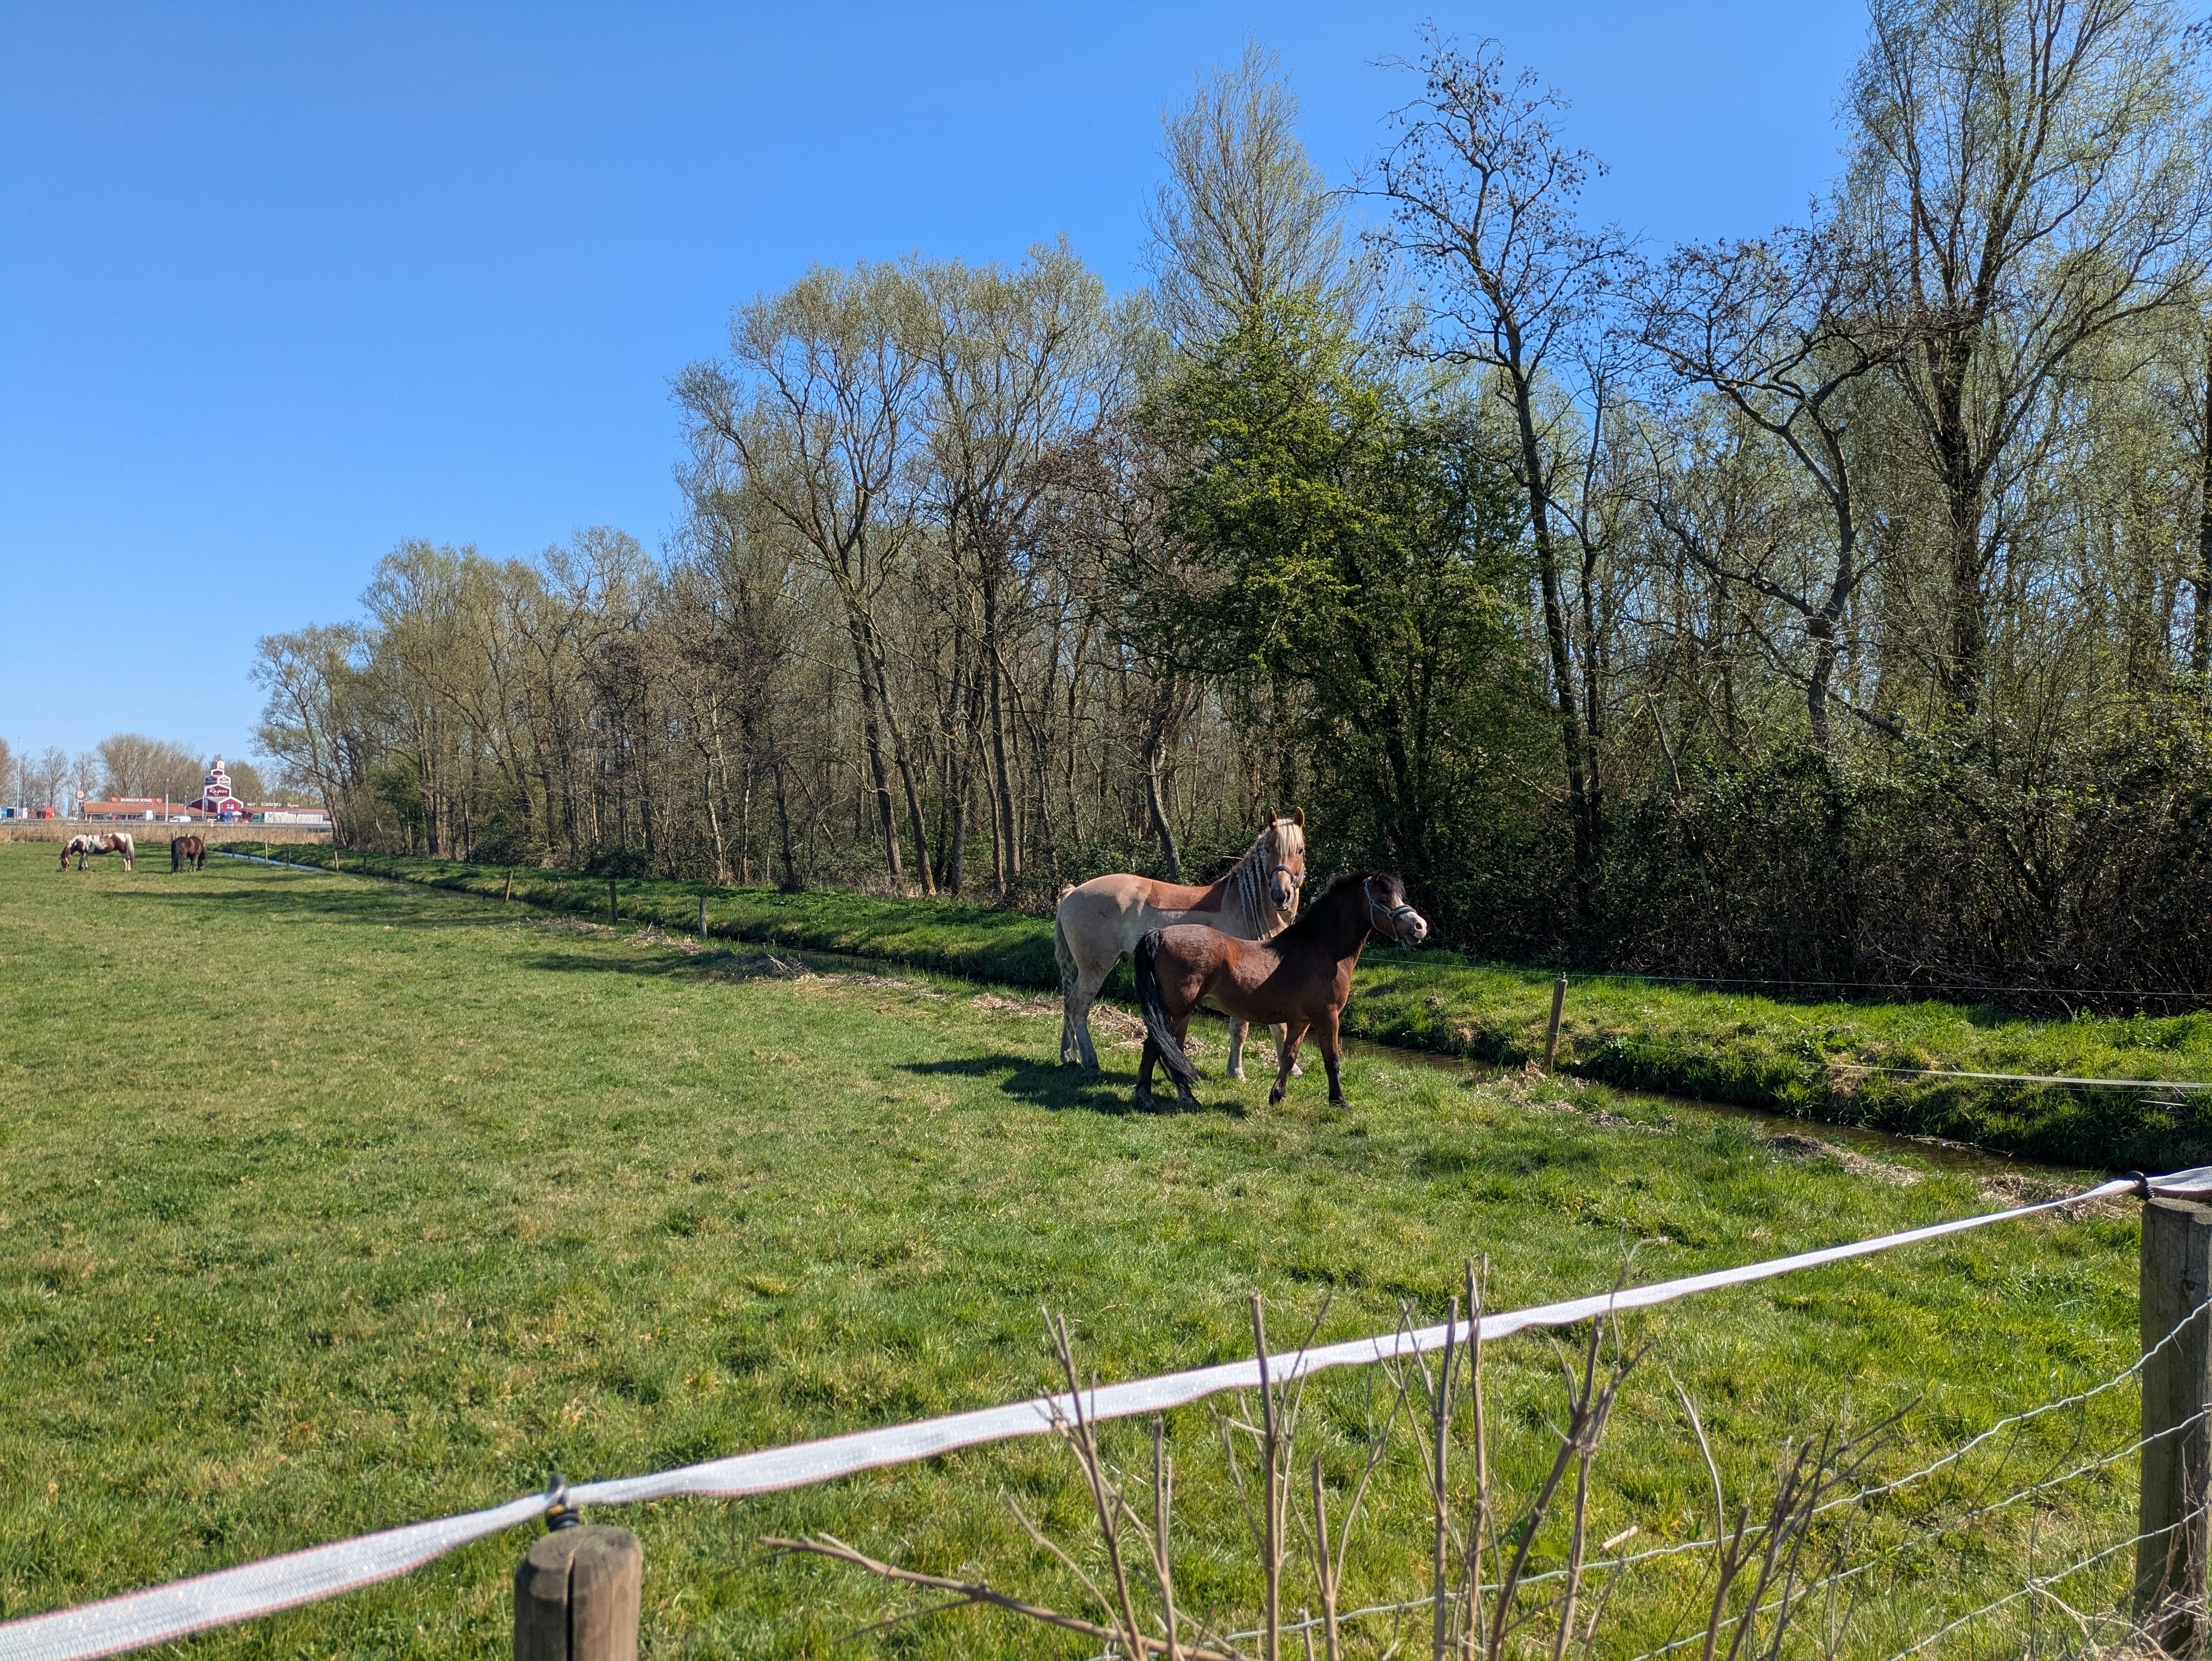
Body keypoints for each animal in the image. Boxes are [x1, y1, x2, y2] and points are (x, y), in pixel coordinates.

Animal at [60, 832, 136, 872]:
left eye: (63, 861)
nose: (63, 870)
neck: (80, 840)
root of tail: (124, 835)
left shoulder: (85, 853)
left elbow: (85, 862)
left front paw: (86, 869)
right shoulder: (83, 853)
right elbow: (81, 861)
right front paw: (80, 869)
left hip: (123, 852)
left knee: (127, 860)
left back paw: (125, 870)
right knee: (129, 859)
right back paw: (128, 869)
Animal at [1056, 810, 1307, 1079]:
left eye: (1300, 850)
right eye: (1269, 849)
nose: (1281, 896)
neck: (1247, 906)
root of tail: (1072, 892)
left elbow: (1274, 1025)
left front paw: (1290, 1069)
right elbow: (1242, 1028)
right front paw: (1238, 1072)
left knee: (1070, 1006)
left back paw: (1070, 1055)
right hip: (1096, 967)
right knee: (1077, 1006)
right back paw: (1091, 1062)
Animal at [1132, 871, 1428, 1110]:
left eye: (1400, 895)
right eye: (1384, 897)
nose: (1420, 927)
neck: (1321, 949)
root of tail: (1159, 933)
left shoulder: (1302, 1021)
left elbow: (1288, 1056)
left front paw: (1277, 1096)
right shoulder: (1328, 1016)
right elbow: (1332, 1060)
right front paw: (1340, 1102)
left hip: (1181, 1013)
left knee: (1173, 1049)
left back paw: (1187, 1098)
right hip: (1175, 1011)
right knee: (1153, 1046)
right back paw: (1146, 1098)